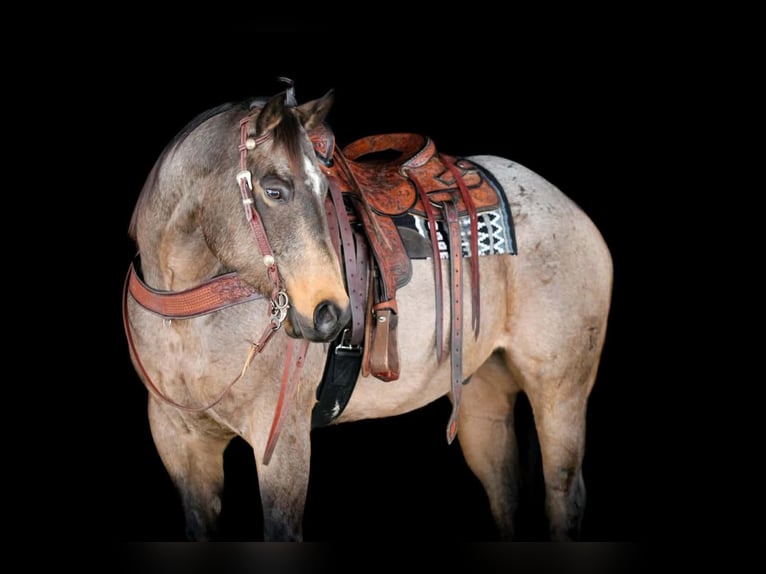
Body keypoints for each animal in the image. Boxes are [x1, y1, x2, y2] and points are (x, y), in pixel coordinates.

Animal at [122, 84, 613, 542]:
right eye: (274, 190)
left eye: (325, 191)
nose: (330, 313)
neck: (186, 318)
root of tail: (571, 211)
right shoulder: (180, 443)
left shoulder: (282, 443)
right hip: (484, 395)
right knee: (504, 493)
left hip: (560, 393)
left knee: (563, 494)